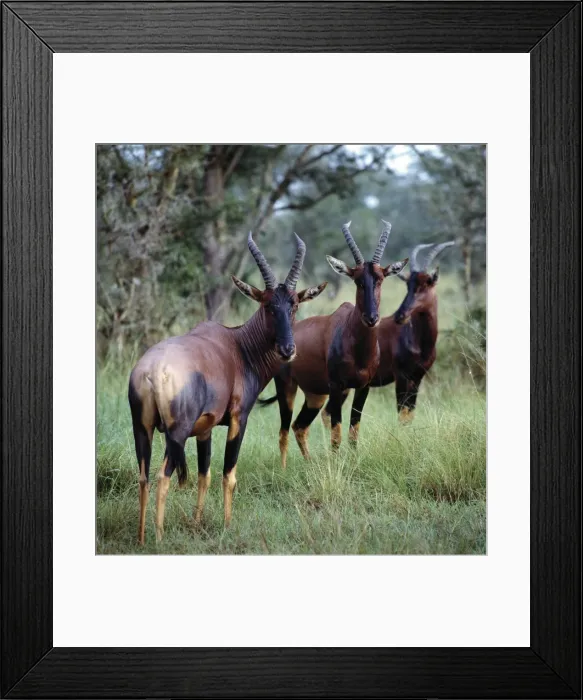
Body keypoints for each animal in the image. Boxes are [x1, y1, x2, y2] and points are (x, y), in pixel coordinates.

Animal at [129, 232, 326, 544]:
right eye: (267, 305)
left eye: (294, 304)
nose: (288, 349)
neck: (238, 346)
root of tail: (151, 371)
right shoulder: (238, 419)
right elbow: (228, 474)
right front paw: (227, 525)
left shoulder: (205, 429)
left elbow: (204, 474)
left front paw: (197, 523)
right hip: (176, 434)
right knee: (163, 476)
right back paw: (158, 539)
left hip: (142, 429)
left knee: (143, 476)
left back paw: (141, 537)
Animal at [259, 221, 408, 467]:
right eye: (357, 280)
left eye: (380, 278)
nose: (371, 318)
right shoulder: (337, 387)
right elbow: (337, 434)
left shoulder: (363, 387)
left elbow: (353, 430)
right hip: (287, 388)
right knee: (284, 430)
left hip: (315, 395)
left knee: (299, 426)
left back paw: (310, 463)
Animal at [320, 241, 455, 436]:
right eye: (408, 285)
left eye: (427, 283)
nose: (400, 315)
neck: (417, 340)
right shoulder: (401, 377)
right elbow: (401, 415)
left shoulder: (417, 378)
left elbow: (409, 416)